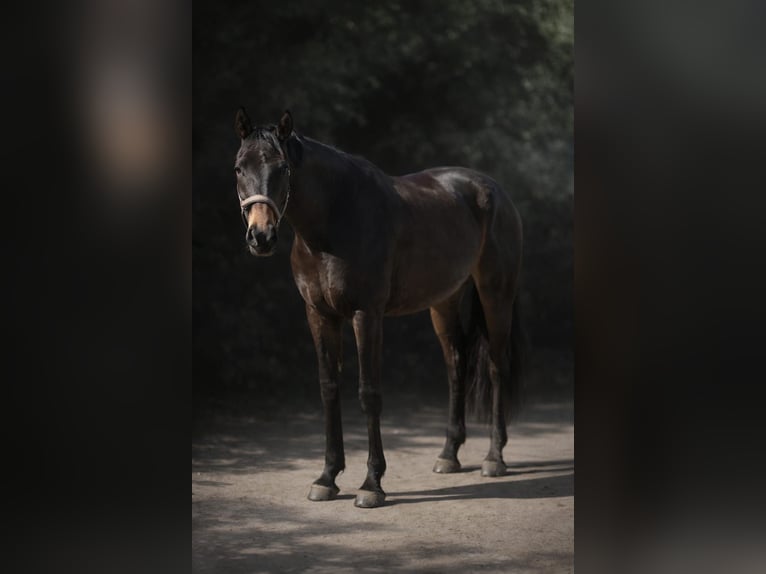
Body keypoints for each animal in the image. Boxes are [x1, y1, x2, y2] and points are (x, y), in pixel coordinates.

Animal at [232, 107, 524, 508]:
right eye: (239, 168)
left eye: (282, 167)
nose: (260, 237)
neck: (335, 222)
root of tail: (494, 189)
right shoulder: (318, 315)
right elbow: (328, 389)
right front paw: (327, 477)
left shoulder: (366, 315)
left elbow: (368, 393)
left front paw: (372, 483)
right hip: (444, 302)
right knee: (456, 367)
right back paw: (448, 455)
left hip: (496, 293)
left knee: (496, 368)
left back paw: (494, 457)